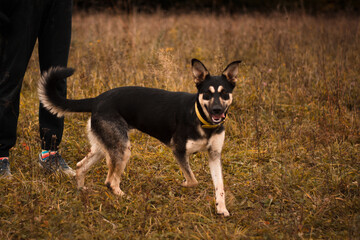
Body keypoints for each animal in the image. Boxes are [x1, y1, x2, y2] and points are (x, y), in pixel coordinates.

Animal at [38, 58, 242, 216]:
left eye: (224, 94)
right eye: (207, 94)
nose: (217, 110)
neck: (201, 118)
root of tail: (97, 99)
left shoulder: (214, 155)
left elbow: (220, 186)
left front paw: (221, 209)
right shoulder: (178, 150)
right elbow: (193, 180)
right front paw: (183, 183)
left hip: (105, 147)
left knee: (81, 166)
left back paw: (82, 191)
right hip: (122, 149)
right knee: (110, 182)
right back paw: (123, 197)